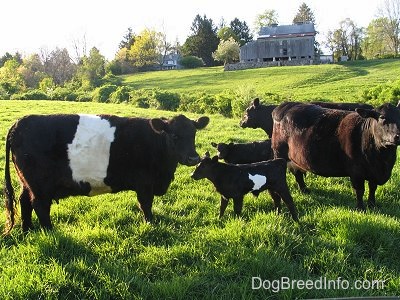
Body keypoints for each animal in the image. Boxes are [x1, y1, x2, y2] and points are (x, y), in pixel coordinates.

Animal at [3, 112, 209, 232]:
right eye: (174, 136)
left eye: (193, 134)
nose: (193, 158)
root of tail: (20, 122)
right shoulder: (144, 183)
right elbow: (146, 205)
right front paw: (150, 223)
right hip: (40, 184)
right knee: (39, 205)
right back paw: (49, 231)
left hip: (26, 181)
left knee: (24, 201)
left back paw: (28, 229)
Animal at [272, 102, 400, 210]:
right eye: (382, 118)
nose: (398, 136)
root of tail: (285, 105)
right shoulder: (356, 172)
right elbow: (359, 190)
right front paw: (360, 208)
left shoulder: (373, 173)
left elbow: (372, 188)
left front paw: (372, 205)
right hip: (279, 154)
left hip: (296, 158)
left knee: (298, 174)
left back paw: (304, 190)